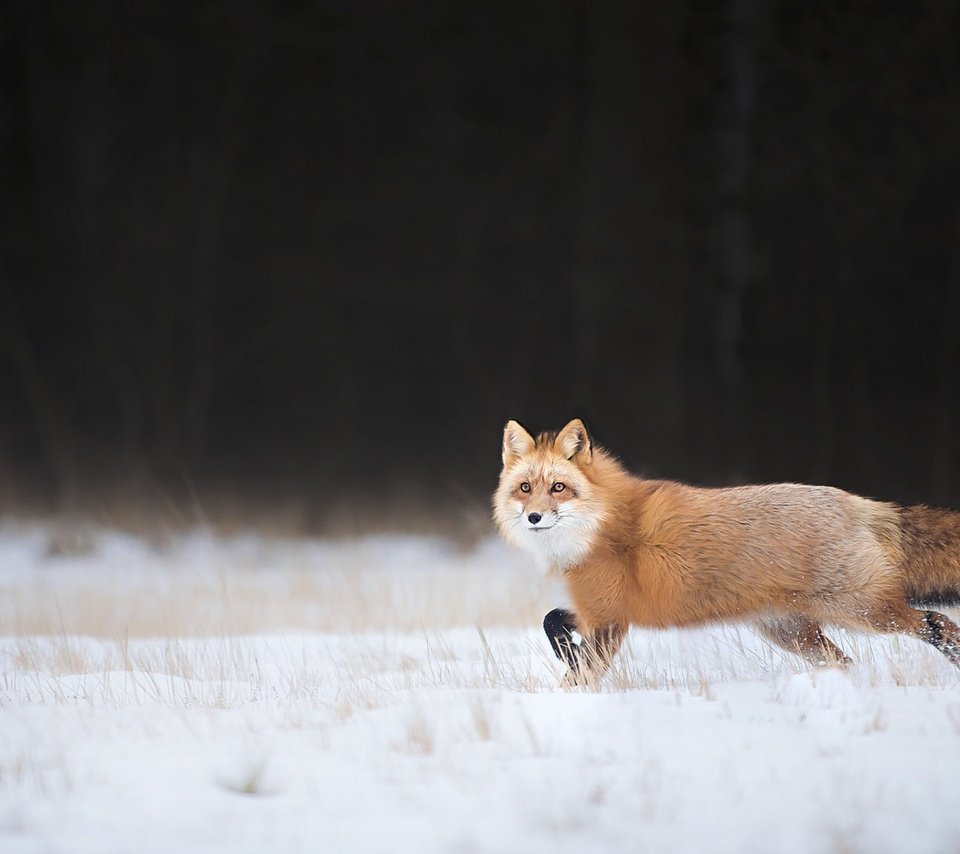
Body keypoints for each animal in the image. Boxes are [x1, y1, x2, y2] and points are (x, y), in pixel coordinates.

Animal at [492, 418, 960, 684]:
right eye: (525, 488)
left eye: (559, 487)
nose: (534, 517)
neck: (602, 526)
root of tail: (861, 503)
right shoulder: (598, 610)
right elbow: (552, 621)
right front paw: (566, 651)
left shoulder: (609, 620)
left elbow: (581, 673)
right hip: (794, 634)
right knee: (847, 662)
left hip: (861, 611)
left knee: (935, 622)